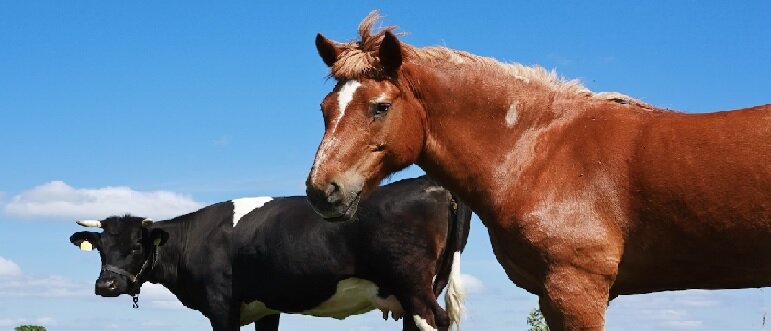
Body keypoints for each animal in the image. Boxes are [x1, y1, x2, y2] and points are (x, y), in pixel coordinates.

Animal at [69, 178, 474, 331]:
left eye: (137, 245)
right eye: (100, 247)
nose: (105, 286)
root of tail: (434, 184)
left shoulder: (222, 307)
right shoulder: (267, 307)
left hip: (415, 288)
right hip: (421, 288)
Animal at [304, 10, 771, 331]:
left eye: (380, 107)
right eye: (324, 109)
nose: (322, 191)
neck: (542, 150)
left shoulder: (576, 289)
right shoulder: (552, 295)